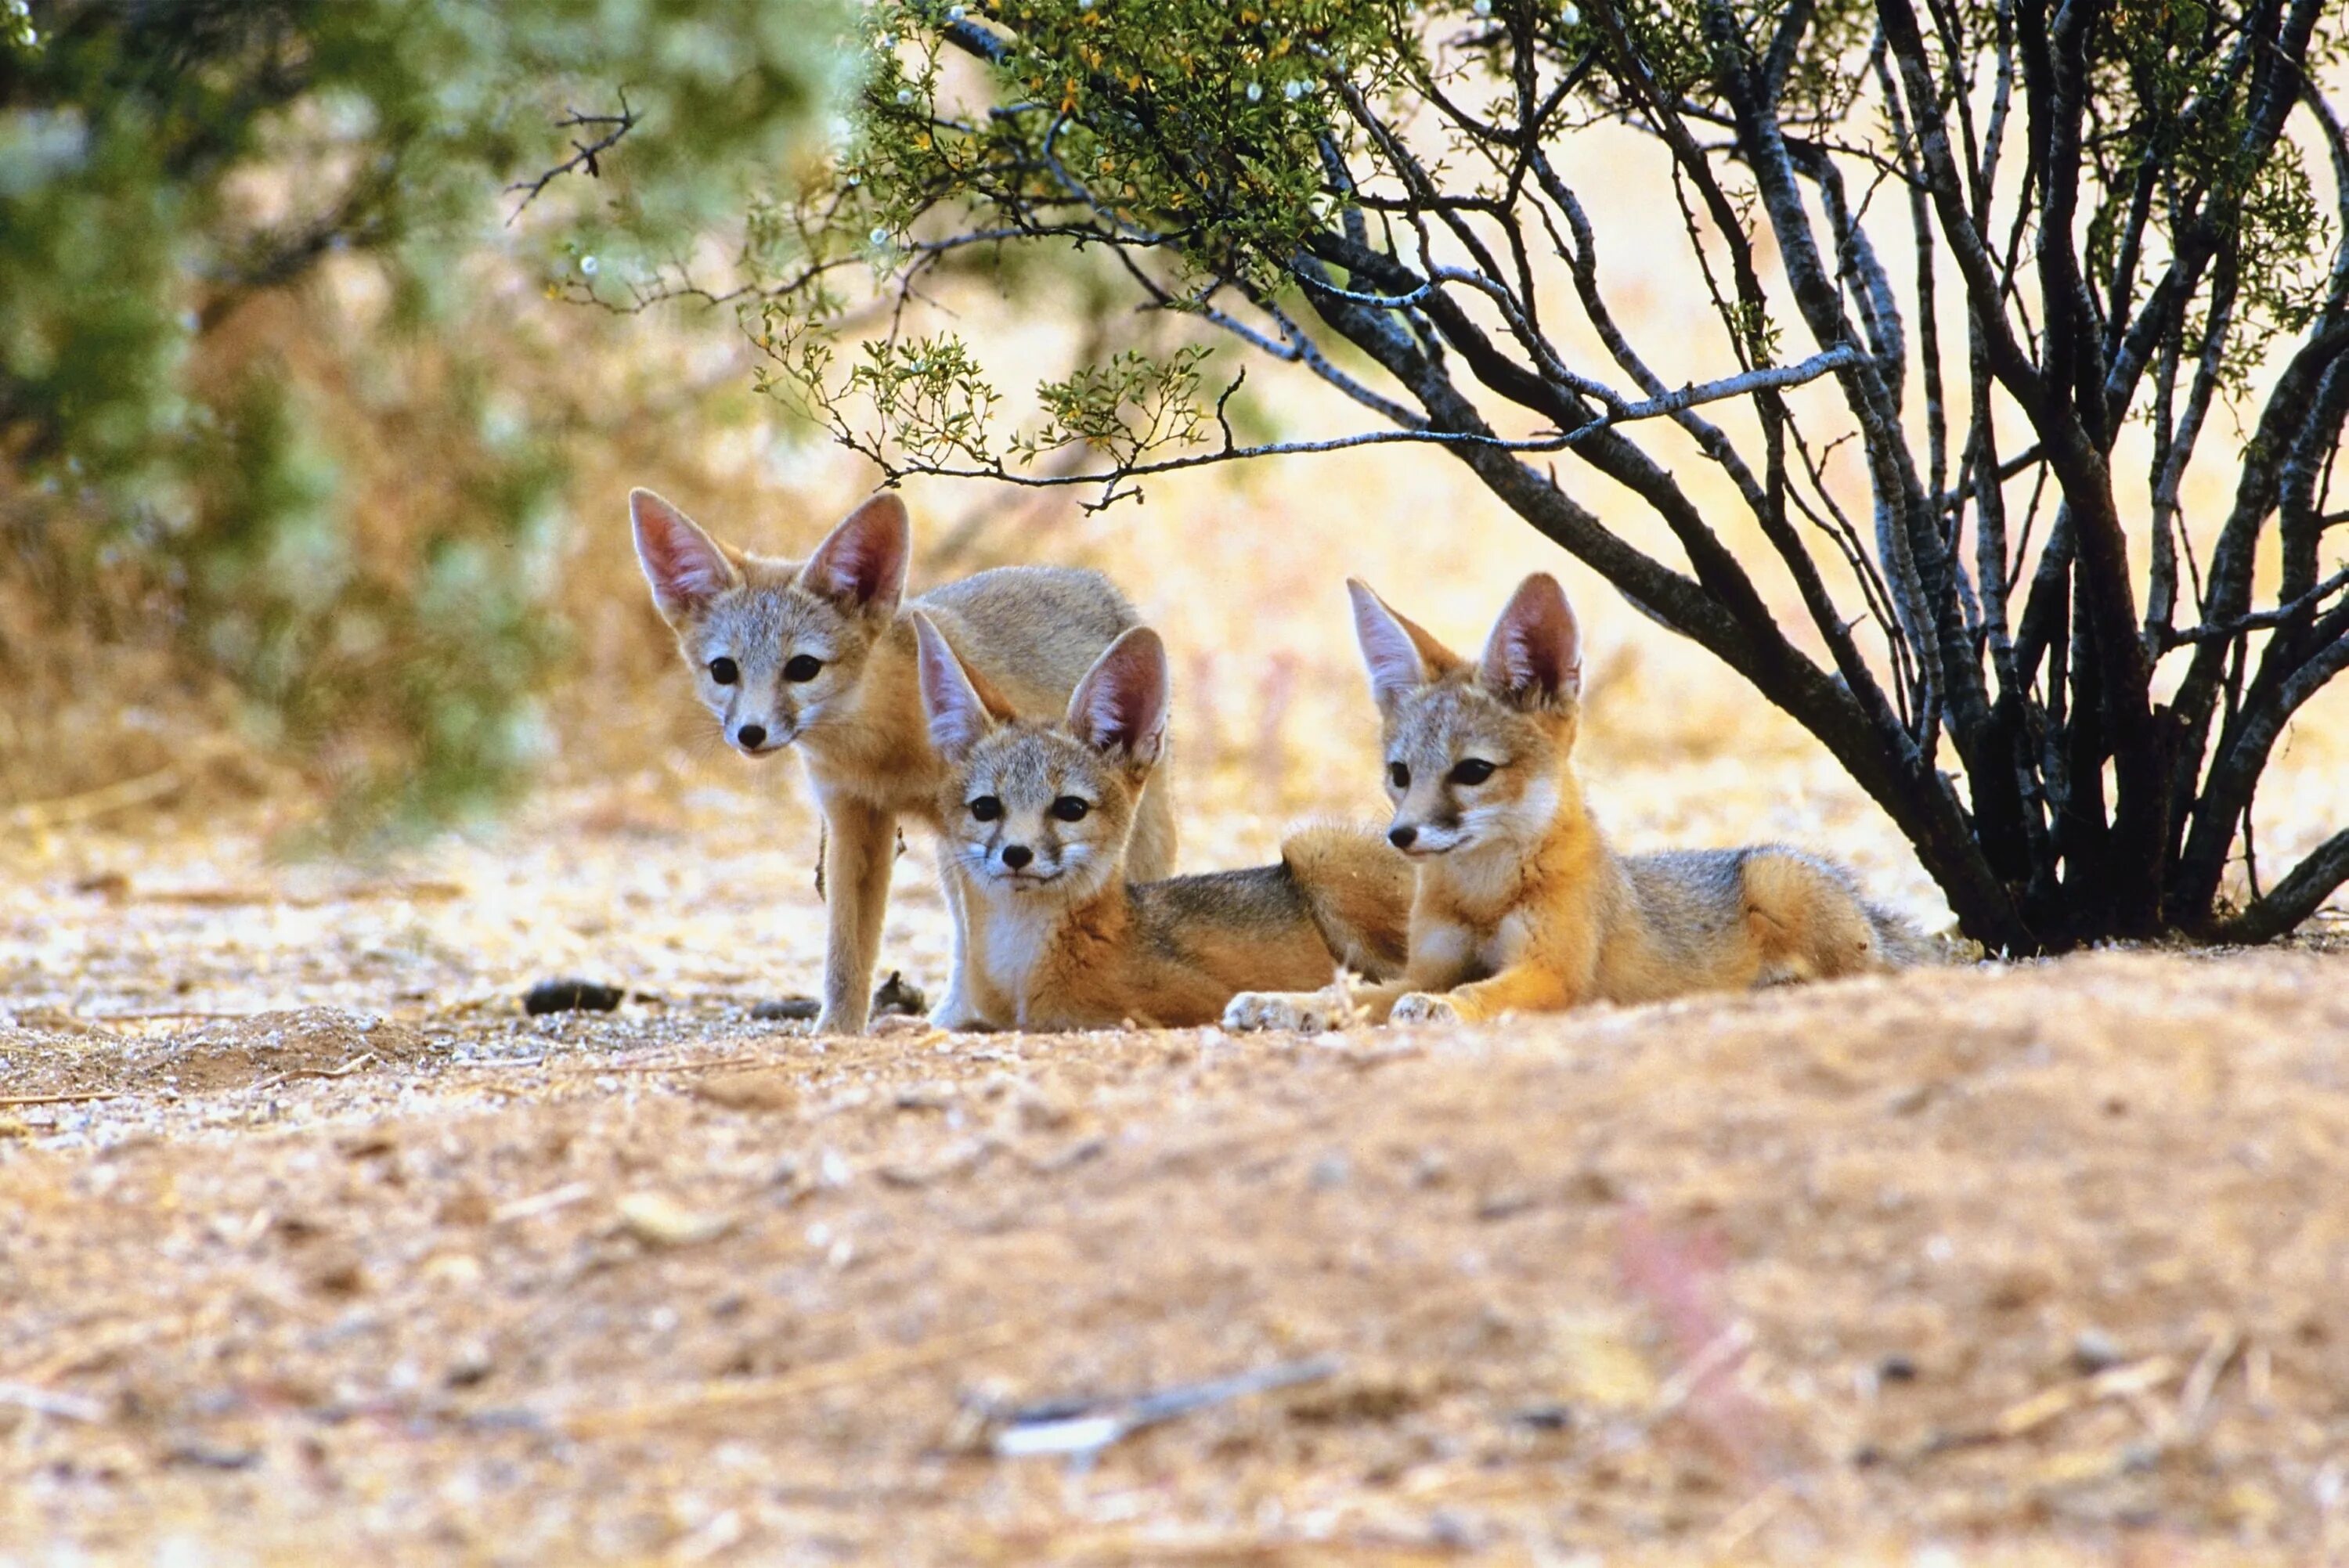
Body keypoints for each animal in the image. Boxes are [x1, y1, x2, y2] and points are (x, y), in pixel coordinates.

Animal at [630, 483, 1174, 1033]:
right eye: (724, 670)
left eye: (803, 668)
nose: (750, 733)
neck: (878, 753)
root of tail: (1090, 579)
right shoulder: (855, 819)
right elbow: (847, 952)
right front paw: (837, 1030)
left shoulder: (969, 822)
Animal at [907, 610, 1400, 1028]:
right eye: (986, 808)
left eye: (1070, 808)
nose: (1016, 854)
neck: (1021, 975)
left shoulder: (1189, 1001)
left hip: (1312, 845)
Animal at [1221, 572, 1917, 1028]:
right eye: (1399, 773)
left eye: (1473, 772)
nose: (1402, 836)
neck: (1484, 894)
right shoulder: (1426, 964)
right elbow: (1351, 993)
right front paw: (1284, 1003)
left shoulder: (1549, 970)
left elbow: (1471, 996)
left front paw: (1440, 1009)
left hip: (1780, 879)